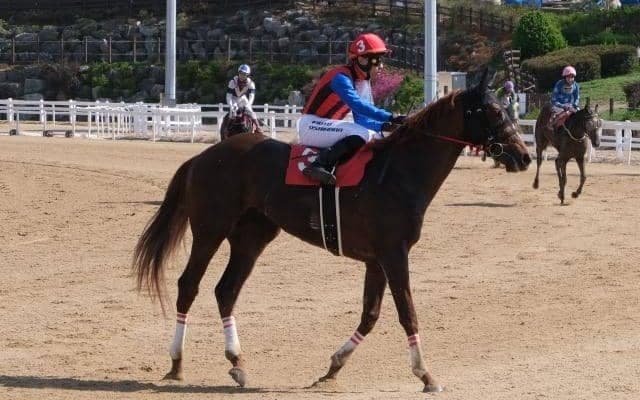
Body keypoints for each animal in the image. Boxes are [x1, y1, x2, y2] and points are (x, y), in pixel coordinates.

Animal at [132, 69, 532, 393]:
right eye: (495, 112)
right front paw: (425, 374)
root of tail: (202, 157)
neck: (399, 172)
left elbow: (370, 315)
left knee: (225, 291)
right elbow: (407, 312)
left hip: (252, 237)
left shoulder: (377, 260)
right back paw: (176, 362)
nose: (524, 156)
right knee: (189, 286)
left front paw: (333, 367)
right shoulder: (394, 253)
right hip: (210, 229)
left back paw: (237, 363)